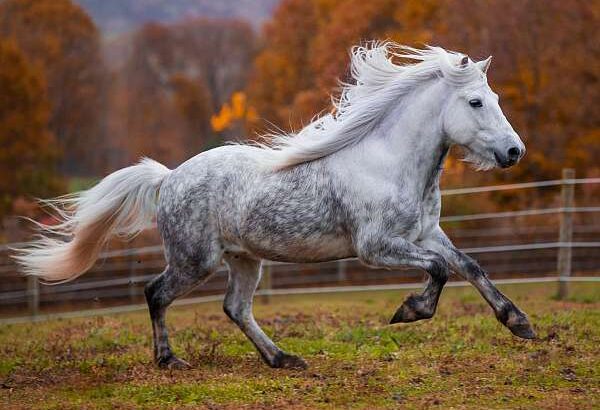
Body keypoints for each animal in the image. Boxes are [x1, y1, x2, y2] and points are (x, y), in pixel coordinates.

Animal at [14, 43, 532, 370]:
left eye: (494, 97)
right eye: (476, 101)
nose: (514, 152)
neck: (389, 163)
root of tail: (170, 177)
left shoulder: (426, 234)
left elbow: (468, 265)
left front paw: (519, 323)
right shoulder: (377, 247)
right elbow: (440, 271)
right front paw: (408, 311)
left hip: (244, 259)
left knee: (235, 308)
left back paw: (283, 359)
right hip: (194, 260)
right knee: (156, 294)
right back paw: (170, 360)